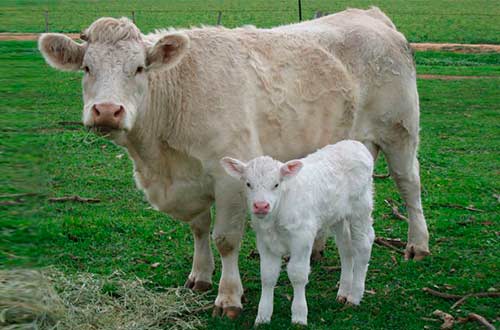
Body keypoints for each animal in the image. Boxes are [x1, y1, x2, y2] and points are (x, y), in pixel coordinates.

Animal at [220, 139, 376, 324]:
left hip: (361, 208)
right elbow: (267, 275)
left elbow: (298, 274)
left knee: (363, 246)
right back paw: (343, 292)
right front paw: (263, 316)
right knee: (346, 248)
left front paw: (299, 316)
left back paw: (354, 296)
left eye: (276, 184)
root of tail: (355, 144)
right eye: (248, 184)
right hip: (337, 215)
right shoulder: (264, 241)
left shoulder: (302, 237)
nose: (261, 206)